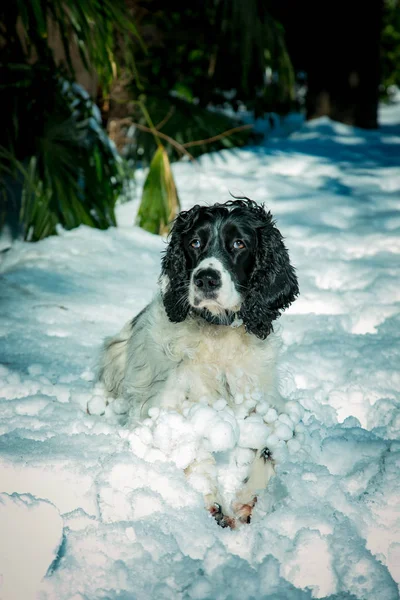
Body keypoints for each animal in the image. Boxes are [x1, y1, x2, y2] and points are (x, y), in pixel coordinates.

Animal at [98, 199, 298, 528]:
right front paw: (214, 501)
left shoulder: (269, 406)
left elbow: (269, 449)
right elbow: (191, 449)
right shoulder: (165, 409)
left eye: (239, 243)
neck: (218, 333)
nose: (206, 278)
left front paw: (244, 499)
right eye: (194, 243)